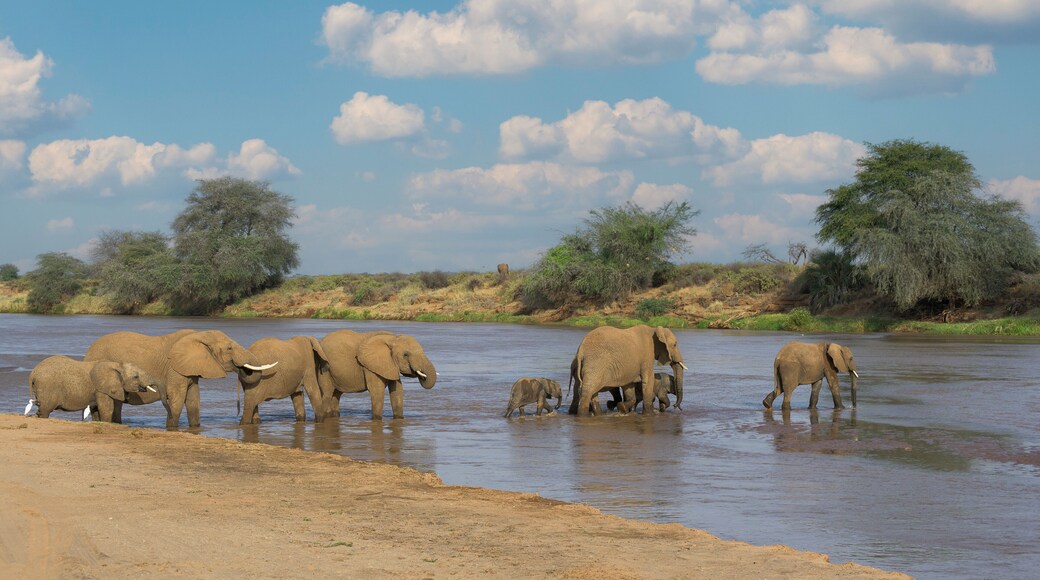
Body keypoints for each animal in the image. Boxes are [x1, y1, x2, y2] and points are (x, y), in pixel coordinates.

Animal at [26, 355, 158, 422]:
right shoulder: (101, 389)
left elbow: (96, 411)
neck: (117, 364)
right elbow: (107, 409)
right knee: (45, 410)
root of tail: (33, 373)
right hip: (47, 386)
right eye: (136, 376)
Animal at [84, 329, 277, 429]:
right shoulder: (175, 370)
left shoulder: (190, 370)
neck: (199, 335)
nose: (241, 369)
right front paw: (171, 428)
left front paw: (194, 428)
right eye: (229, 348)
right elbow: (177, 397)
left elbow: (193, 399)